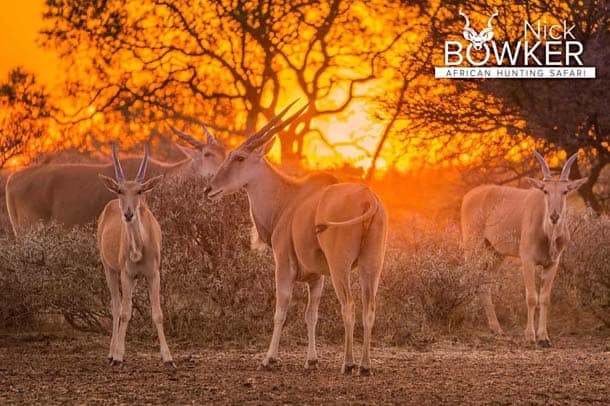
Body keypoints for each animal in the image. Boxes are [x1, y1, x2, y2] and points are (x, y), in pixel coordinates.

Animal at [97, 144, 173, 366]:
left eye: (139, 191)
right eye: (120, 190)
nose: (129, 214)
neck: (140, 249)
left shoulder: (153, 274)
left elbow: (157, 314)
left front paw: (168, 358)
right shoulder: (126, 274)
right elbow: (124, 313)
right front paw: (118, 357)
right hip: (109, 269)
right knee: (116, 307)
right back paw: (111, 353)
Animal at [203, 103, 384, 376]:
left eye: (240, 158)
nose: (209, 189)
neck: (288, 198)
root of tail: (367, 199)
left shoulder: (284, 265)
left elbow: (281, 309)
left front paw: (269, 359)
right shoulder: (316, 278)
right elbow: (312, 315)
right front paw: (311, 360)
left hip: (339, 266)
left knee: (349, 306)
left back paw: (348, 363)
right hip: (370, 265)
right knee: (369, 309)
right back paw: (364, 365)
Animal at [464, 151, 588, 348]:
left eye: (565, 191)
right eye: (545, 190)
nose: (554, 216)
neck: (548, 235)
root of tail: (468, 196)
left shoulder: (552, 264)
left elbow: (544, 298)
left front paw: (544, 337)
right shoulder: (527, 260)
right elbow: (531, 297)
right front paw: (530, 336)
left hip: (496, 253)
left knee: (484, 283)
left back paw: (496, 328)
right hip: (473, 246)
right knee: (468, 276)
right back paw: (469, 317)